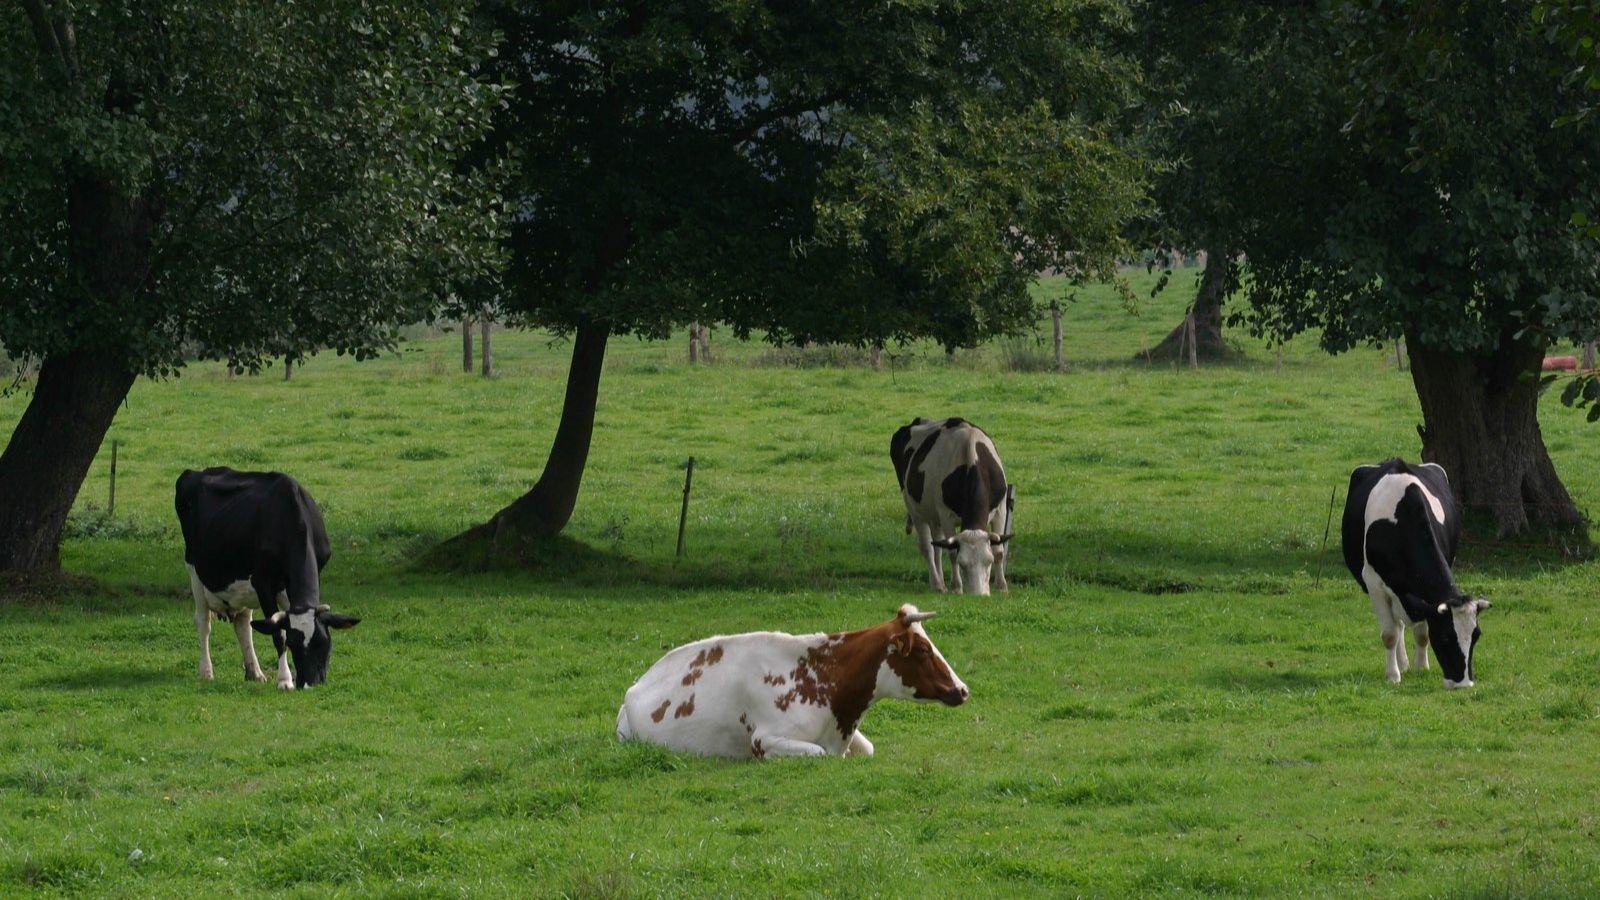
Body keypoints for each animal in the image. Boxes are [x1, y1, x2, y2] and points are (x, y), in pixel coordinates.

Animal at [176, 464, 361, 688]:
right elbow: (277, 632)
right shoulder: (262, 582)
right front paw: (285, 680)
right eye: (293, 643)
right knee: (203, 622)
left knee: (243, 624)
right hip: (194, 570)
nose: (311, 683)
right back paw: (206, 671)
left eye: (325, 642)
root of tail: (197, 471)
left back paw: (254, 672)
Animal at [611, 602, 960, 755]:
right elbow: (817, 753)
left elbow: (868, 747)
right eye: (923, 651)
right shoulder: (764, 739)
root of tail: (635, 686)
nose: (963, 689)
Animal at [889, 416, 1011, 595]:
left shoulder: (1000, 509)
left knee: (937, 546)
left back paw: (940, 581)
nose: (979, 595)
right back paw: (937, 583)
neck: (971, 459)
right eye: (962, 563)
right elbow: (952, 552)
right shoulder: (945, 515)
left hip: (934, 517)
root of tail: (918, 421)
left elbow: (999, 550)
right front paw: (956, 586)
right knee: (927, 547)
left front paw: (1002, 586)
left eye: (988, 561)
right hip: (915, 510)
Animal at [1337, 458, 1484, 682]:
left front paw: (1421, 667)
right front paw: (1392, 676)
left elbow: (1421, 632)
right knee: (1396, 626)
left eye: (1476, 636)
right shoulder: (1374, 583)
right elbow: (1389, 634)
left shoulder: (1422, 596)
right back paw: (1401, 664)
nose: (1463, 681)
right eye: (1445, 637)